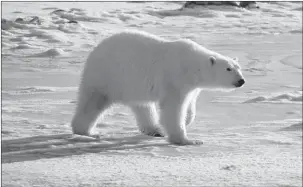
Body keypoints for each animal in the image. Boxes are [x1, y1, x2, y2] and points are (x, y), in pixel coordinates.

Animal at [70, 30, 246, 145]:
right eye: (228, 69)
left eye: (239, 68)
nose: (241, 81)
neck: (191, 66)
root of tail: (95, 50)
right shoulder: (174, 79)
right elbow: (173, 108)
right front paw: (188, 140)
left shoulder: (192, 86)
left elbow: (189, 104)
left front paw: (187, 120)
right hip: (107, 76)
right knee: (92, 102)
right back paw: (86, 132)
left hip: (132, 85)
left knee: (142, 106)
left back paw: (155, 130)